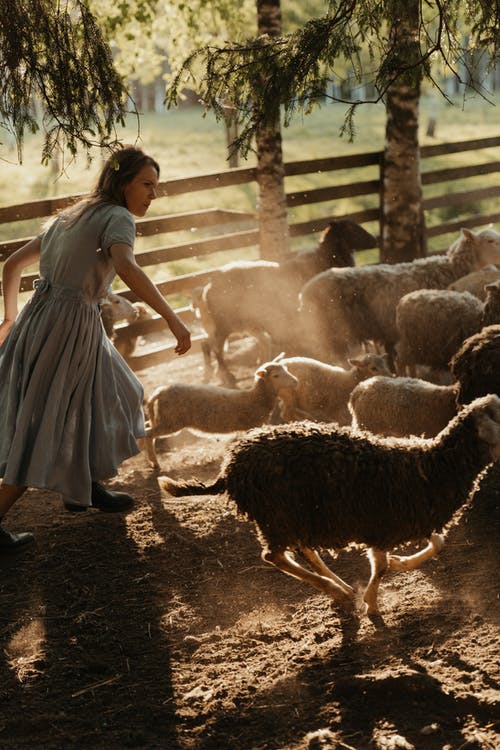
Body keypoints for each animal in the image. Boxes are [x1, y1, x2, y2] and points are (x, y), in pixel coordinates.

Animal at [141, 360, 296, 470]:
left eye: (287, 370)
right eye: (276, 376)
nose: (295, 382)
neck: (255, 399)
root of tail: (161, 391)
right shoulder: (252, 425)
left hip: (164, 417)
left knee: (146, 427)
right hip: (171, 421)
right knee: (149, 433)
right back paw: (154, 463)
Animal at [159, 394, 500, 616]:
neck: (433, 466)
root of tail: (230, 467)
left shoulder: (400, 521)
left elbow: (435, 544)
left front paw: (399, 565)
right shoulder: (381, 525)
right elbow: (381, 567)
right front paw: (372, 605)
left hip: (298, 516)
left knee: (302, 550)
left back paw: (341, 588)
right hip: (276, 516)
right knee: (274, 556)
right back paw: (336, 590)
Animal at [193, 219, 374, 388]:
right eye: (350, 228)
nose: (373, 240)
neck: (325, 259)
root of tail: (209, 285)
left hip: (239, 323)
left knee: (207, 343)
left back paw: (212, 374)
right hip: (225, 322)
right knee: (217, 349)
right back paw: (228, 377)